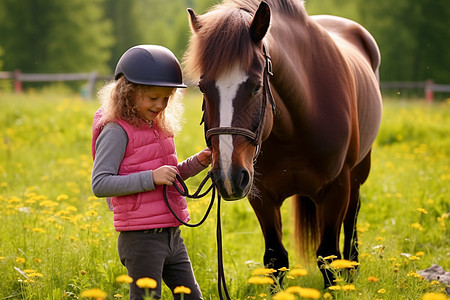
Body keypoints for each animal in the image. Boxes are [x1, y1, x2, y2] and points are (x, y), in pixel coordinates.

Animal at [183, 0, 384, 288]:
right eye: (202, 87)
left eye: (256, 87)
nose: (228, 177)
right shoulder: (261, 195)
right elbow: (275, 259)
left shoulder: (336, 188)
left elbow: (329, 256)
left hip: (358, 174)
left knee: (352, 219)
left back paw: (352, 270)